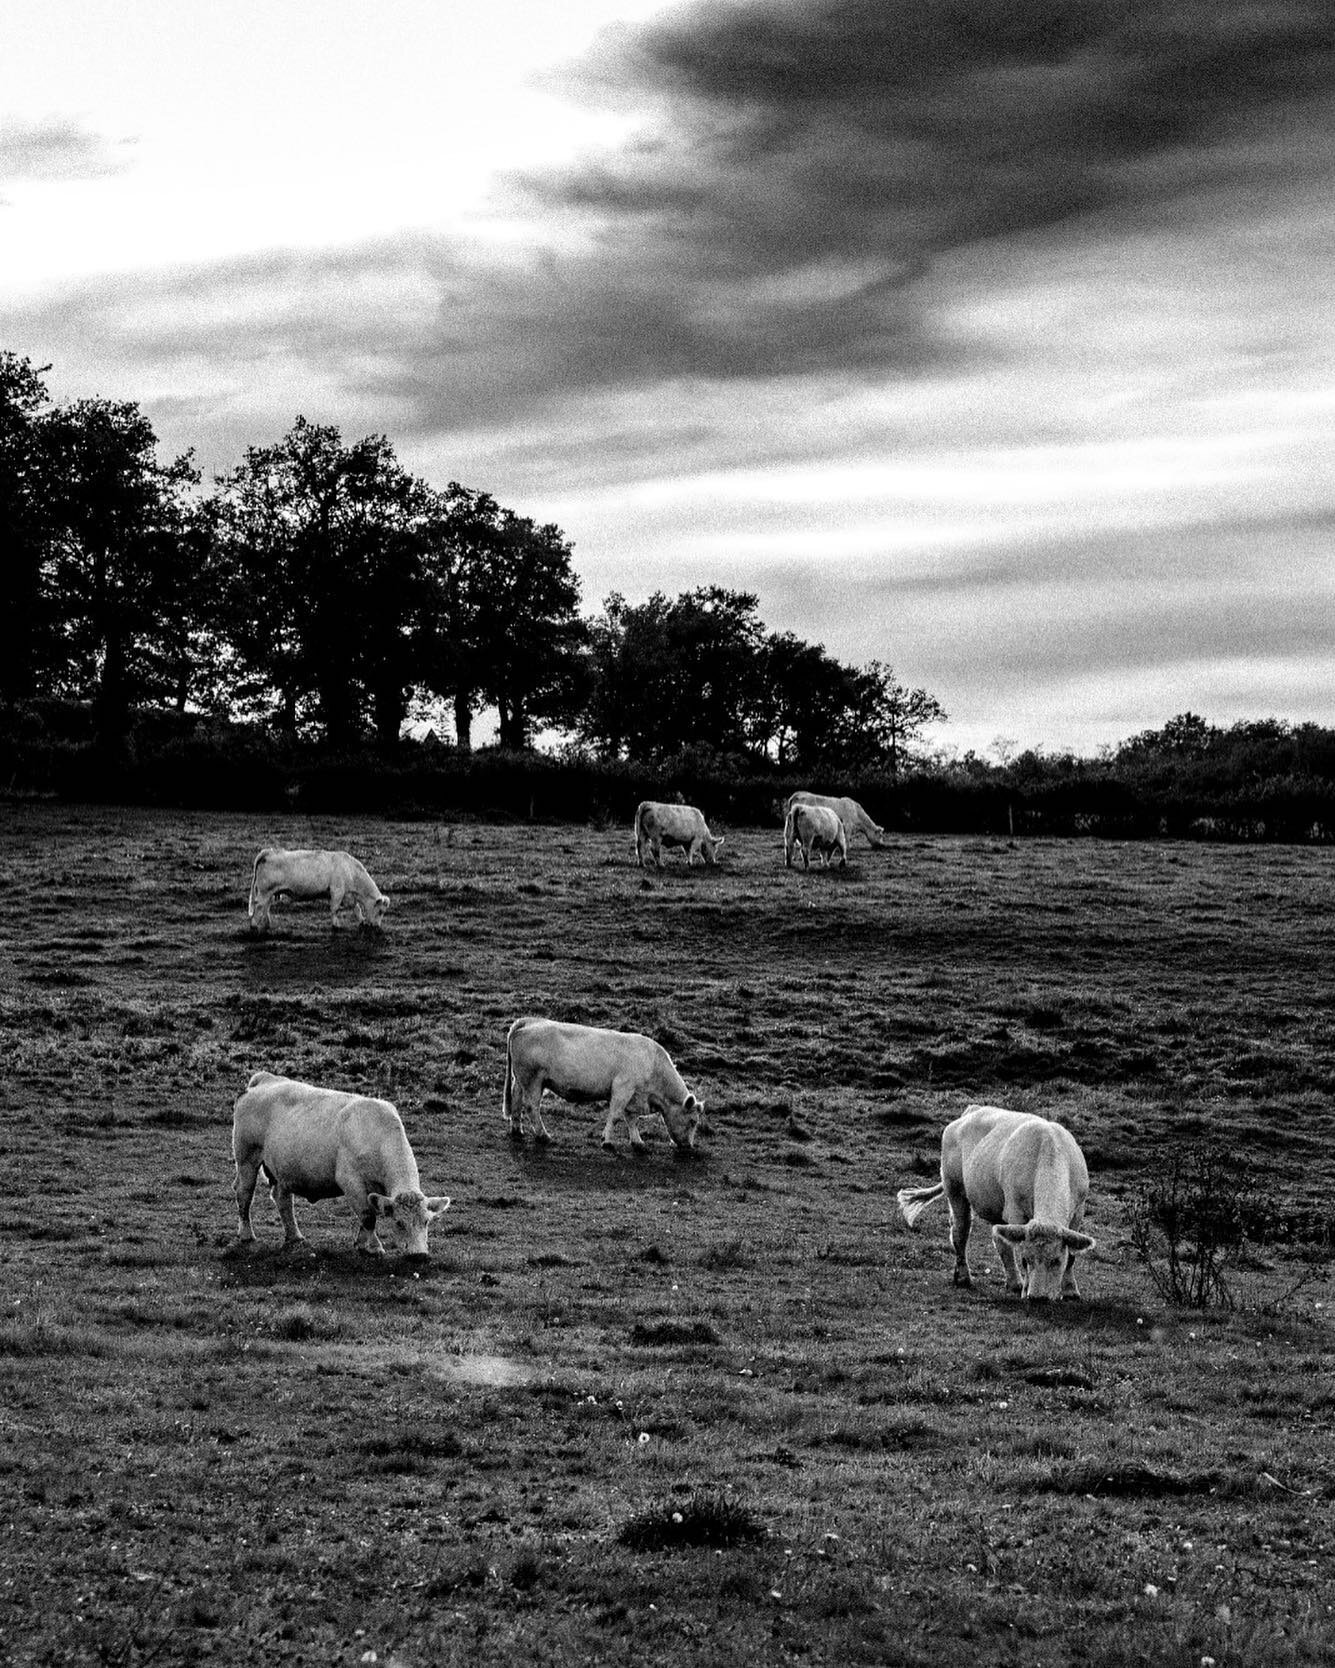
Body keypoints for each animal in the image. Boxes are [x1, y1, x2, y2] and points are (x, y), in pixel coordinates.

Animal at [235, 1074, 447, 1254]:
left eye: (426, 1222)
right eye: (399, 1223)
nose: (418, 1255)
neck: (376, 1134)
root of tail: (265, 1079)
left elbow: (368, 1215)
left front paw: (363, 1243)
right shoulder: (350, 1181)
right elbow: (368, 1215)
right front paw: (374, 1247)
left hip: (282, 1170)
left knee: (282, 1199)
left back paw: (295, 1237)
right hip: (247, 1159)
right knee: (244, 1194)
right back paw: (247, 1235)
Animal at [246, 847, 388, 940]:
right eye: (380, 911)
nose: (377, 927)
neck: (351, 871)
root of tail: (269, 852)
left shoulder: (348, 894)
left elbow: (356, 909)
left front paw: (362, 922)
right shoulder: (337, 891)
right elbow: (335, 909)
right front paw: (336, 925)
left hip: (269, 893)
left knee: (265, 907)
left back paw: (266, 924)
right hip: (265, 891)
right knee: (259, 906)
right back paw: (254, 926)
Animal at [503, 1014, 707, 1160]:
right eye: (693, 1121)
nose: (689, 1146)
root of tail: (528, 1021)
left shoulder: (634, 1096)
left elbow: (632, 1119)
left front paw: (638, 1142)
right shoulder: (623, 1088)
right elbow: (615, 1116)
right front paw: (607, 1141)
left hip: (521, 1079)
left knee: (516, 1099)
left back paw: (517, 1130)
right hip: (533, 1080)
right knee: (531, 1106)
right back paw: (543, 1135)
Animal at [894, 1107, 1094, 1301]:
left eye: (1056, 1261)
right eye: (1026, 1260)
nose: (1038, 1297)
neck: (1049, 1152)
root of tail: (970, 1110)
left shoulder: (1078, 1212)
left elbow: (1072, 1256)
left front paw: (1070, 1291)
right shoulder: (1016, 1213)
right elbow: (1017, 1248)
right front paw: (1027, 1288)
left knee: (999, 1240)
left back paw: (1013, 1282)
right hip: (954, 1188)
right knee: (960, 1231)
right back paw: (964, 1277)